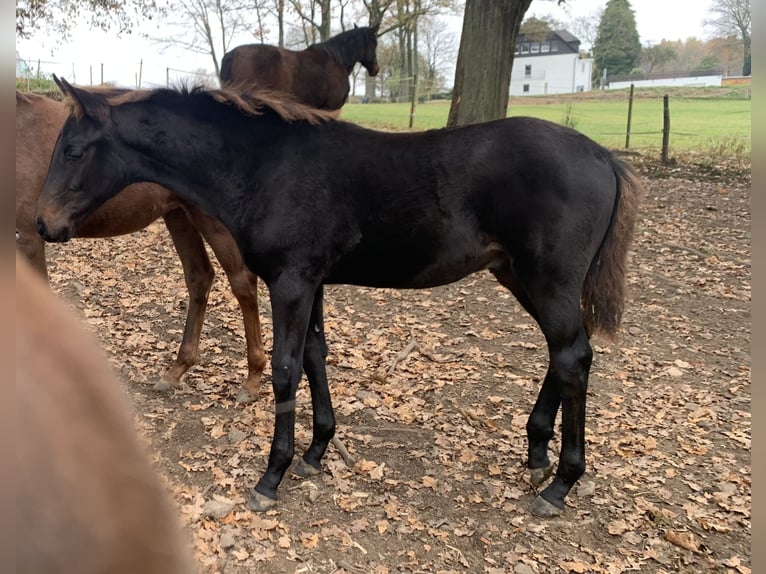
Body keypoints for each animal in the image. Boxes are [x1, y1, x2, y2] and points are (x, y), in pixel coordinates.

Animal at [16, 91, 268, 404]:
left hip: (209, 219)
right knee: (200, 277)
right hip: (178, 215)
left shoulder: (28, 238)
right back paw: (176, 371)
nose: (44, 222)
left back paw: (252, 380)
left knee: (242, 282)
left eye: (73, 154)